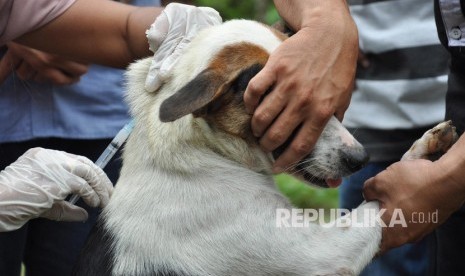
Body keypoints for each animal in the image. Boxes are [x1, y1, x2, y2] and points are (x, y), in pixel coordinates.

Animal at [73, 20, 456, 276]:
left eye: (332, 101)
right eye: (299, 112)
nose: (360, 160)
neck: (208, 151)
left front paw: (422, 149)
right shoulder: (323, 253)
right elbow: (376, 207)